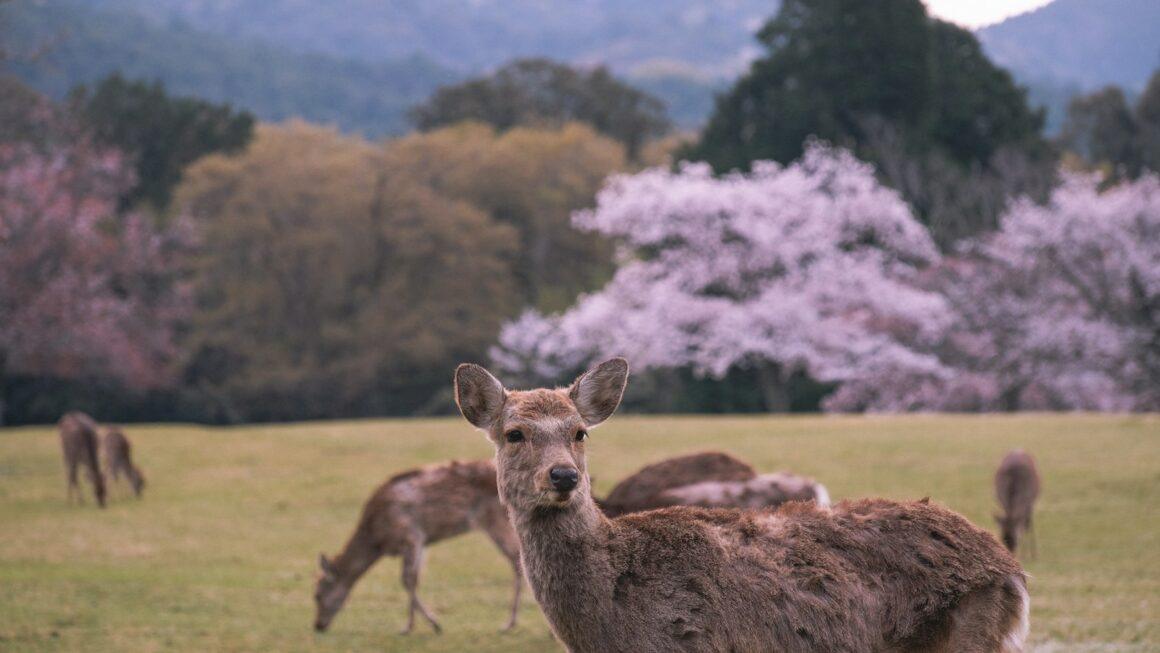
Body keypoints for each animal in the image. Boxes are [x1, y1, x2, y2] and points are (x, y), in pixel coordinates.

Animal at [313, 459, 522, 635]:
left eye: (317, 594)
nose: (317, 626)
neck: (377, 540)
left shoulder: (410, 535)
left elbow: (406, 580)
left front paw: (425, 625)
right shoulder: (422, 542)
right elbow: (415, 578)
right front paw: (415, 625)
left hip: (495, 519)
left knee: (517, 561)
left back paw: (509, 623)